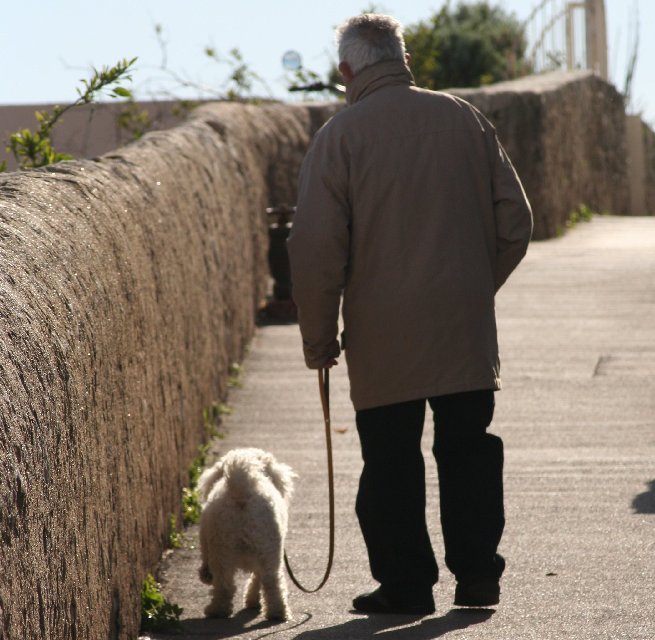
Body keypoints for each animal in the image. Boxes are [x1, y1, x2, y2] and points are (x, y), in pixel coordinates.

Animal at [196, 450, 296, 620]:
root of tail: (241, 492)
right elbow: (257, 578)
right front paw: (252, 600)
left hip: (223, 549)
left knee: (226, 584)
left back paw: (216, 610)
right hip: (267, 548)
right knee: (269, 581)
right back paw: (276, 612)